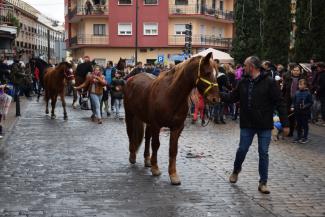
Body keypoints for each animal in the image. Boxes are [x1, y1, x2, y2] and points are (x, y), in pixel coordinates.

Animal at [123, 52, 219, 185]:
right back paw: (132, 156)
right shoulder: (157, 125)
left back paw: (147, 160)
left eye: (217, 74)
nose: (215, 99)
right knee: (131, 133)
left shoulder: (177, 127)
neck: (171, 95)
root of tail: (132, 78)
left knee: (147, 137)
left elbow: (173, 150)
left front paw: (173, 175)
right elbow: (156, 145)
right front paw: (155, 168)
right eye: (208, 72)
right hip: (130, 115)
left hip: (148, 121)